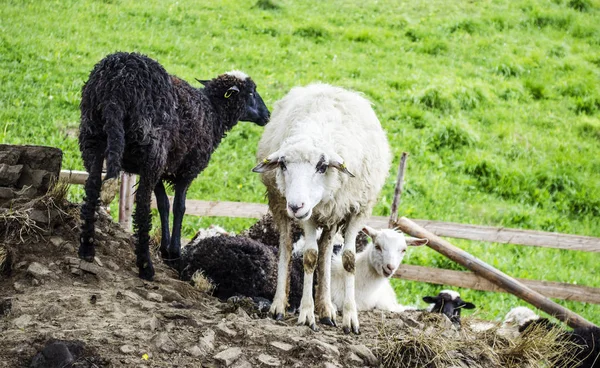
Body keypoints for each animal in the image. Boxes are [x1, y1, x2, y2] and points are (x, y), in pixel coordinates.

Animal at [78, 53, 270, 280]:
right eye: (251, 92)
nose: (267, 115)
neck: (213, 113)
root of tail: (115, 85)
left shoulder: (162, 170)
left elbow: (163, 204)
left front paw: (165, 249)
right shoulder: (187, 169)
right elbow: (179, 206)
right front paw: (175, 252)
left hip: (93, 137)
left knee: (92, 188)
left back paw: (86, 248)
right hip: (151, 148)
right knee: (142, 204)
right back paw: (145, 266)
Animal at [253, 82, 394, 334]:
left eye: (322, 166)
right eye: (283, 164)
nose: (296, 206)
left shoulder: (356, 211)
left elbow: (348, 260)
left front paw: (350, 317)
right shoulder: (309, 215)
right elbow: (309, 257)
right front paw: (307, 314)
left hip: (332, 216)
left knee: (326, 251)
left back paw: (326, 308)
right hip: (279, 204)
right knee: (287, 247)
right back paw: (280, 305)